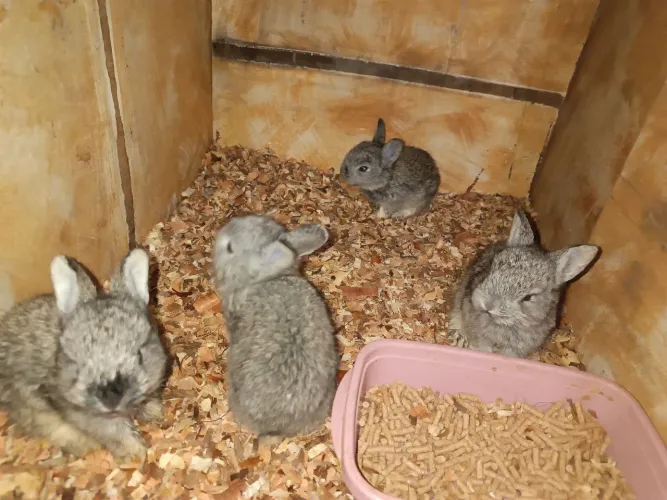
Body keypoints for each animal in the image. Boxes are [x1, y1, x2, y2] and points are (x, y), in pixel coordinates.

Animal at [0, 249, 168, 459]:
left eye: (139, 355)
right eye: (78, 364)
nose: (111, 399)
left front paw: (155, 412)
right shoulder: (84, 414)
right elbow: (115, 432)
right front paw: (136, 453)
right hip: (30, 404)